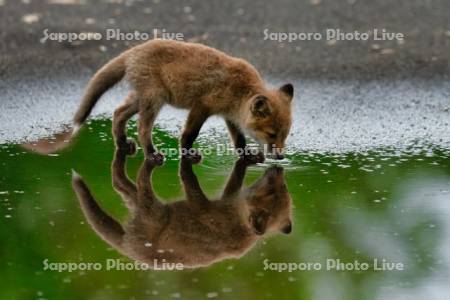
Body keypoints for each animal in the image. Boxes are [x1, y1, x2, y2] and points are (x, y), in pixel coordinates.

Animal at [72, 39, 294, 163]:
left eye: (285, 135)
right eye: (271, 134)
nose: (281, 157)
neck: (239, 91)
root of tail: (134, 50)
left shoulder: (230, 116)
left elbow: (239, 140)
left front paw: (247, 156)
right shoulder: (202, 107)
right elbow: (189, 134)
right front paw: (187, 153)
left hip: (141, 99)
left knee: (118, 113)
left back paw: (122, 143)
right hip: (154, 100)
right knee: (143, 129)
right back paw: (151, 154)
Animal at [72, 149, 294, 268]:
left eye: (282, 187)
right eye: (275, 190)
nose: (277, 169)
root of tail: (130, 251)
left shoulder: (204, 205)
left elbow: (189, 180)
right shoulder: (222, 199)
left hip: (150, 209)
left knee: (129, 181)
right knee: (120, 182)